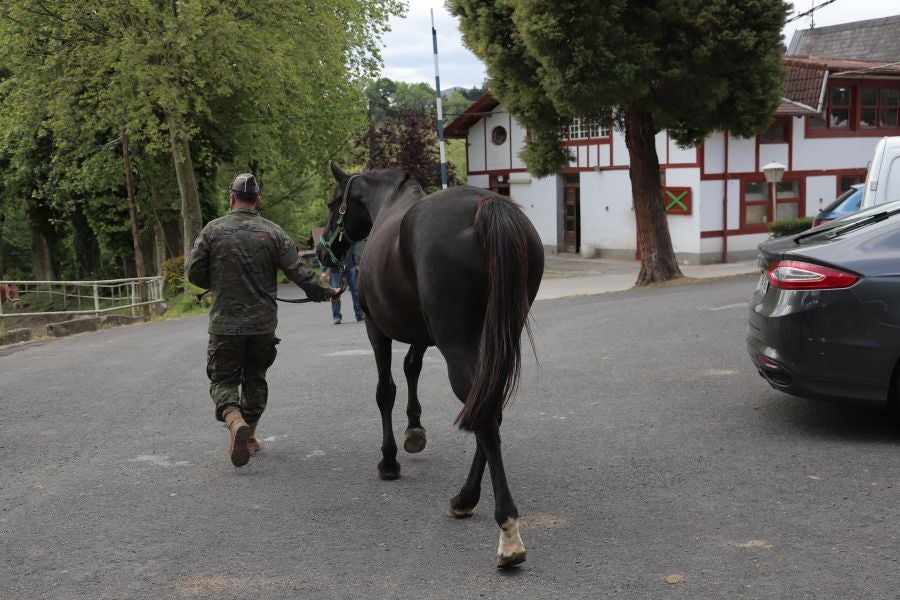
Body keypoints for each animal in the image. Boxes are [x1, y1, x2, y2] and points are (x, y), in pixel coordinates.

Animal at [320, 165, 544, 568]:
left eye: (333, 203)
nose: (320, 251)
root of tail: (485, 206)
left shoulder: (377, 329)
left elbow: (385, 391)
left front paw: (389, 460)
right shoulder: (422, 335)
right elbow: (412, 368)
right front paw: (415, 430)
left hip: (456, 344)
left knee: (484, 418)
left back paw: (506, 531)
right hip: (496, 339)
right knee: (489, 408)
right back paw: (465, 498)